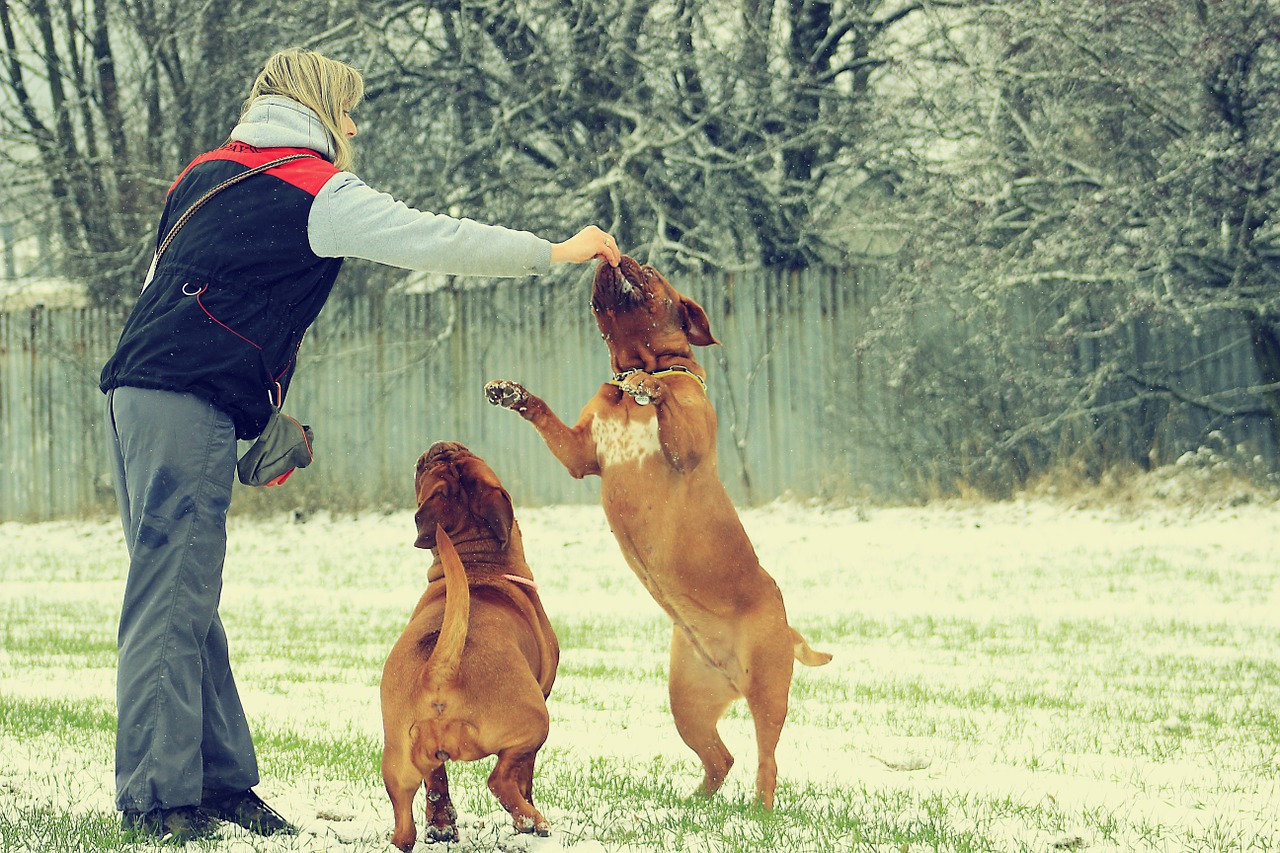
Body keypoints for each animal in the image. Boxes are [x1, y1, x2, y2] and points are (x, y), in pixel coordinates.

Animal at [378, 440, 560, 845]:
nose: (439, 445)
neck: (477, 562)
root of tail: (439, 671)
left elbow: (437, 783)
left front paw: (442, 826)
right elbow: (526, 778)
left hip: (397, 763)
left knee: (405, 825)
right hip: (535, 723)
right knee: (501, 780)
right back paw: (532, 821)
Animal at [483, 252, 834, 804]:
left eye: (647, 271)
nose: (618, 254)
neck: (637, 363)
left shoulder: (686, 447)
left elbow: (668, 395)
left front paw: (652, 387)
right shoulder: (580, 454)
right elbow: (544, 414)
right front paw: (511, 392)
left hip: (768, 690)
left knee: (767, 761)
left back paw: (760, 809)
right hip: (687, 703)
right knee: (721, 758)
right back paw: (696, 805)